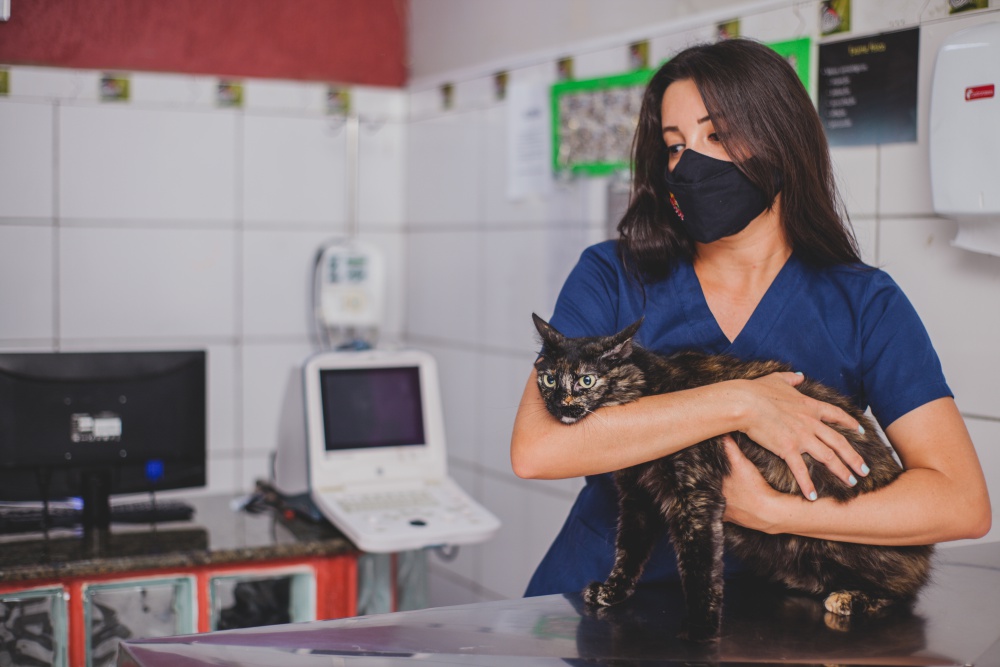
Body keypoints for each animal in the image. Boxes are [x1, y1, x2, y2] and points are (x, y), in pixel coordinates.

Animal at [536, 316, 932, 644]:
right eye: (548, 378)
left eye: (587, 379)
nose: (560, 403)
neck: (651, 389)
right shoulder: (636, 496)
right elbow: (629, 549)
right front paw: (612, 591)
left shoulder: (694, 497)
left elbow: (699, 565)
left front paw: (701, 625)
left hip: (834, 544)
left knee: (904, 591)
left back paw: (851, 598)